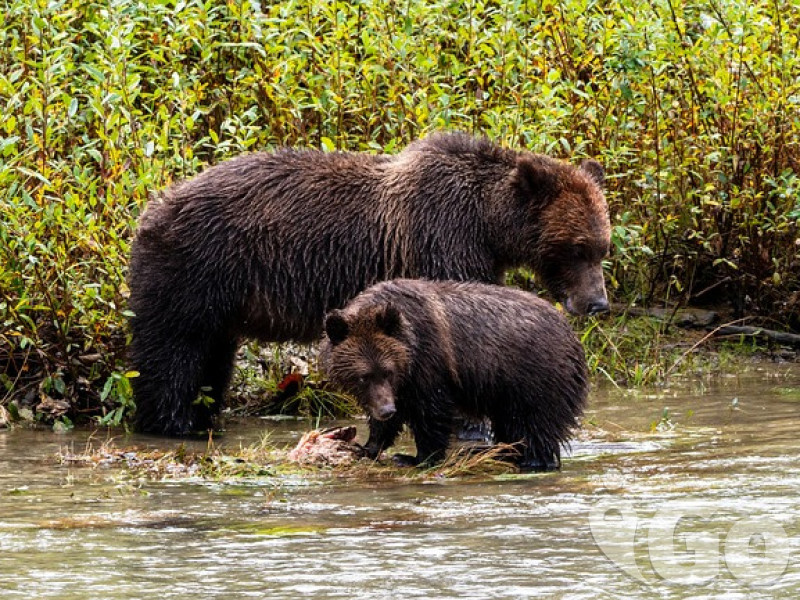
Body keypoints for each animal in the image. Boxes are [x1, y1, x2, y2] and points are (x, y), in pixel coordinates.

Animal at [128, 132, 608, 435]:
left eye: (603, 246)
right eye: (577, 248)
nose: (598, 303)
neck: (488, 225)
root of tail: (152, 207)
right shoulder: (441, 241)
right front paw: (473, 424)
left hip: (220, 298)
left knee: (212, 357)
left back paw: (202, 419)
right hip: (194, 268)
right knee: (172, 351)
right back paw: (171, 424)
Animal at [320, 279, 589, 471]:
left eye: (388, 371)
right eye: (363, 376)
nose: (387, 410)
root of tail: (573, 337)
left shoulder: (430, 363)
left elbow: (431, 412)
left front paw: (414, 457)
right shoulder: (401, 385)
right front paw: (367, 446)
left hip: (535, 376)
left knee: (535, 425)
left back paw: (530, 461)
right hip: (508, 391)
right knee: (511, 423)